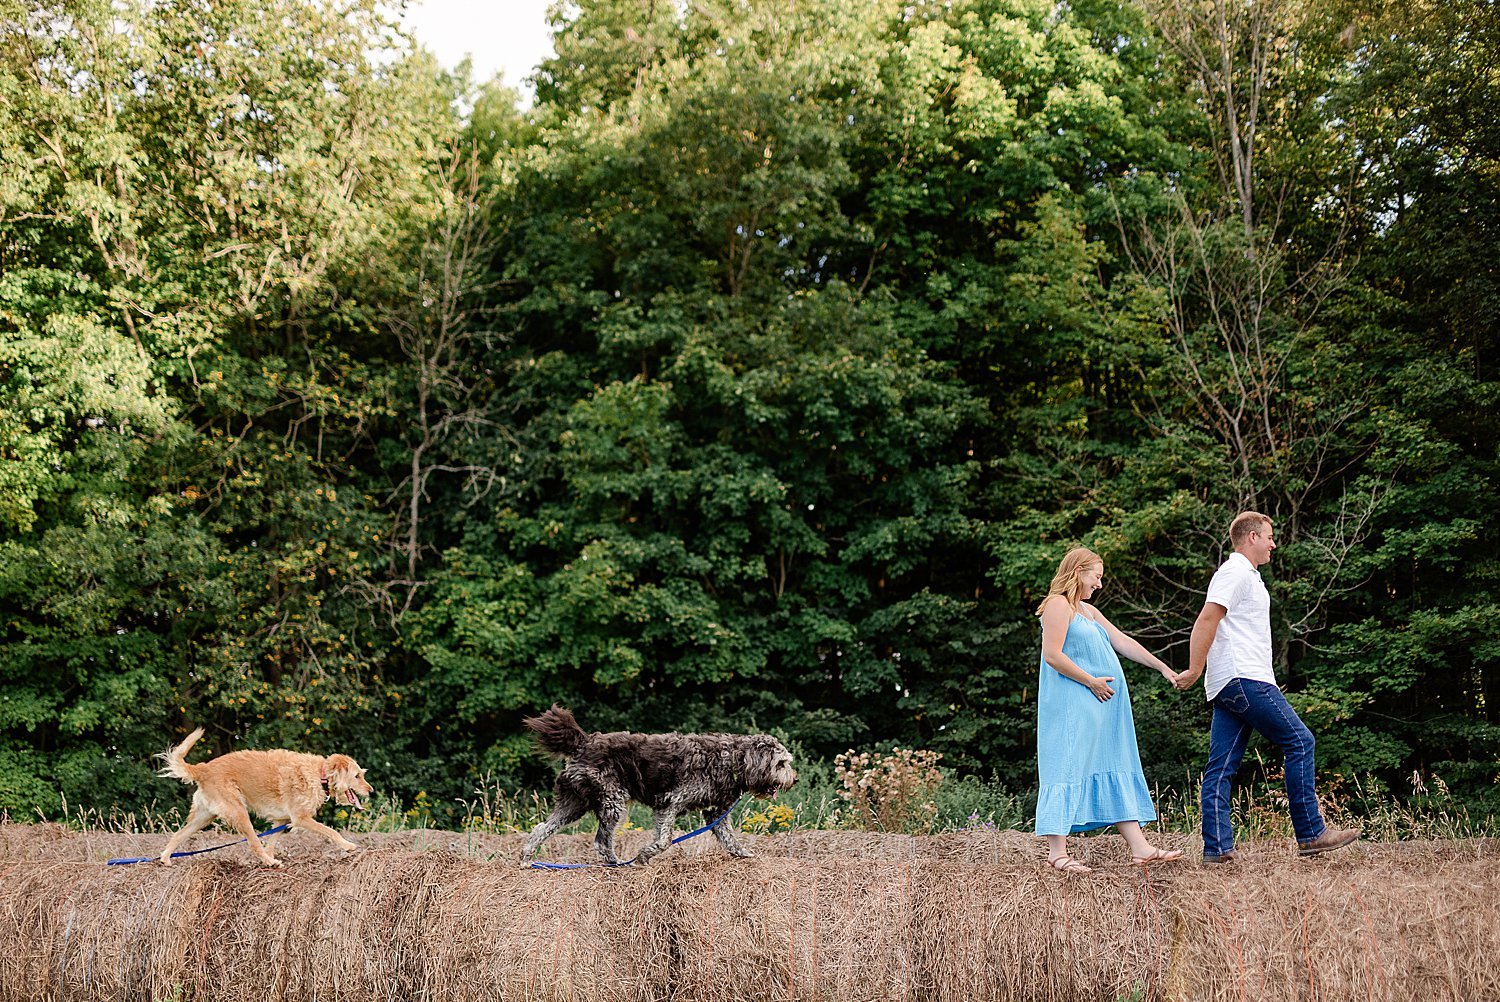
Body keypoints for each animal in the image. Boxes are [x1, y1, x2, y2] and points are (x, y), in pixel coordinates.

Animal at [522, 708, 798, 864]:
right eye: (781, 763)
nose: (794, 779)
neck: (729, 761)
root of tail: (584, 742)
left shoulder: (715, 813)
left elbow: (730, 839)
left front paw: (743, 854)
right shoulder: (669, 802)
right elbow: (664, 840)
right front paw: (645, 855)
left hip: (576, 803)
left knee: (541, 828)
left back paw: (526, 858)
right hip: (613, 802)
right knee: (601, 841)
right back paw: (616, 862)